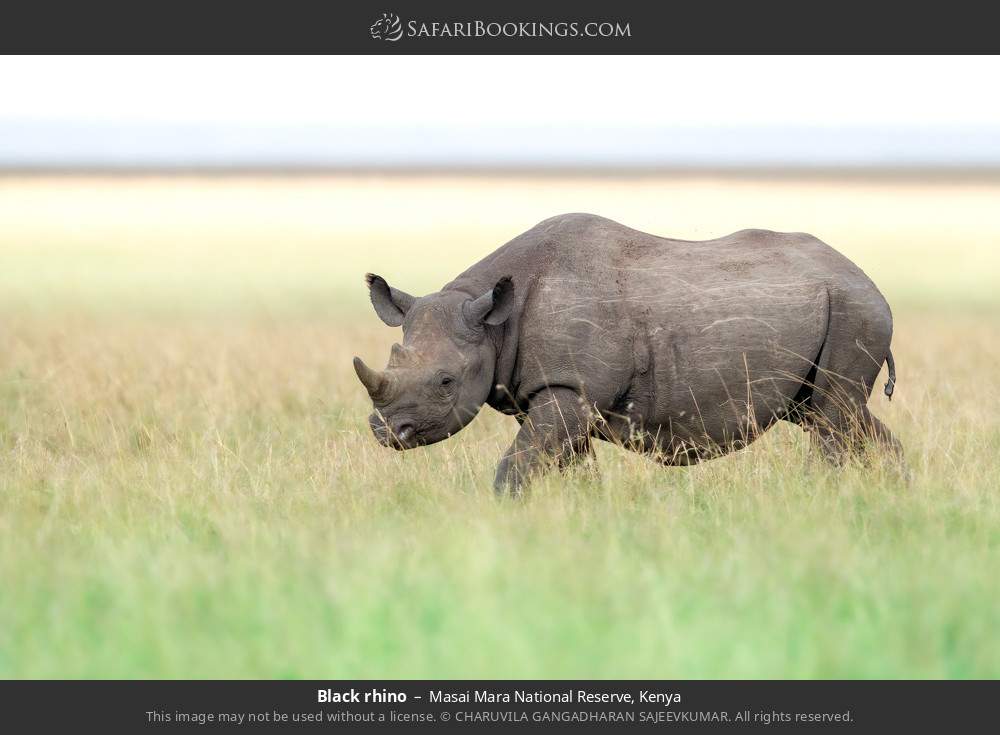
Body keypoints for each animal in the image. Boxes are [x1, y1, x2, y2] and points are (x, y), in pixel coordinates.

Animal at [352, 213, 900, 494]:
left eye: (446, 382)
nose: (387, 432)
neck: (493, 324)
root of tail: (869, 281)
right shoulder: (558, 393)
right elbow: (570, 466)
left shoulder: (570, 388)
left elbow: (516, 467)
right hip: (840, 309)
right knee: (842, 416)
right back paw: (899, 492)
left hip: (854, 309)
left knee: (832, 417)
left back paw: (821, 497)